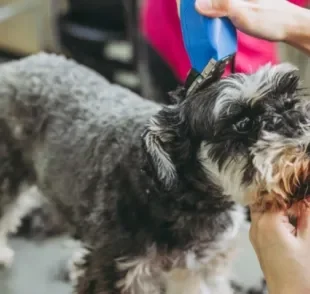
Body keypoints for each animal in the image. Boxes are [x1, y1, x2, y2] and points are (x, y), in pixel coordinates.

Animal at [0, 51, 306, 292]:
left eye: (290, 102)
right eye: (242, 123)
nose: (306, 146)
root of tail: (15, 65)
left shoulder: (199, 269)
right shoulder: (114, 272)